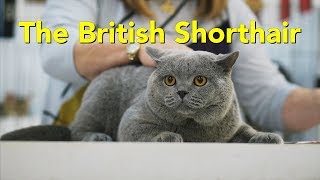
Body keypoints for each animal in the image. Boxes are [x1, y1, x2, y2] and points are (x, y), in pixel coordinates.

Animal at [69, 46, 282, 143]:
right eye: (170, 80)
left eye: (200, 80)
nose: (181, 91)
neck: (194, 129)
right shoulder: (132, 120)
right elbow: (146, 131)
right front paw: (169, 136)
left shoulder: (233, 126)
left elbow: (247, 131)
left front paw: (267, 136)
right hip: (97, 105)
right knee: (76, 130)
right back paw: (98, 137)